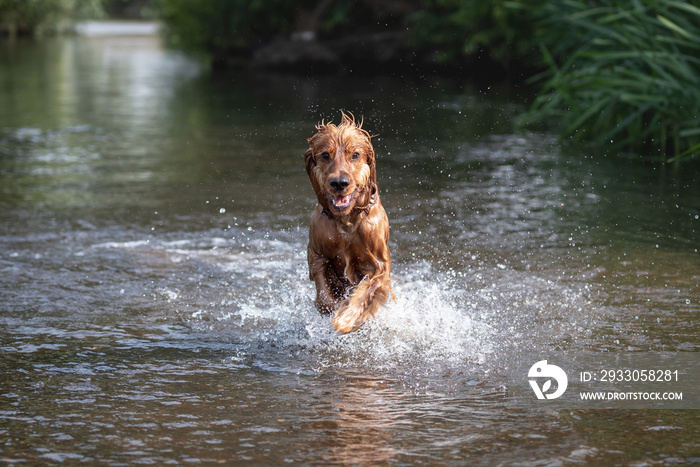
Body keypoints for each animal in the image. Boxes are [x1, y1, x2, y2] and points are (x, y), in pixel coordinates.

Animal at [304, 112, 394, 332]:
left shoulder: (379, 265)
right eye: (325, 155)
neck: (346, 221)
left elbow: (367, 291)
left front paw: (347, 319)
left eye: (355, 155)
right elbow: (324, 298)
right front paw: (336, 309)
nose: (339, 183)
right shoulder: (317, 254)